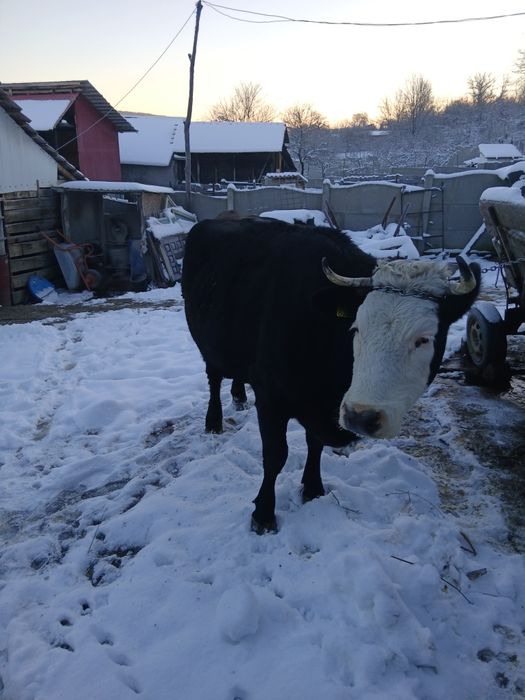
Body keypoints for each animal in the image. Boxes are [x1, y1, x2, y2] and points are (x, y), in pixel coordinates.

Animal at [181, 217, 480, 534]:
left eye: (423, 339)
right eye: (356, 328)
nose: (361, 416)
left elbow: (315, 444)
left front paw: (313, 488)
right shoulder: (271, 398)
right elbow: (275, 455)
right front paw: (263, 513)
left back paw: (238, 395)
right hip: (206, 341)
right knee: (214, 378)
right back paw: (213, 420)